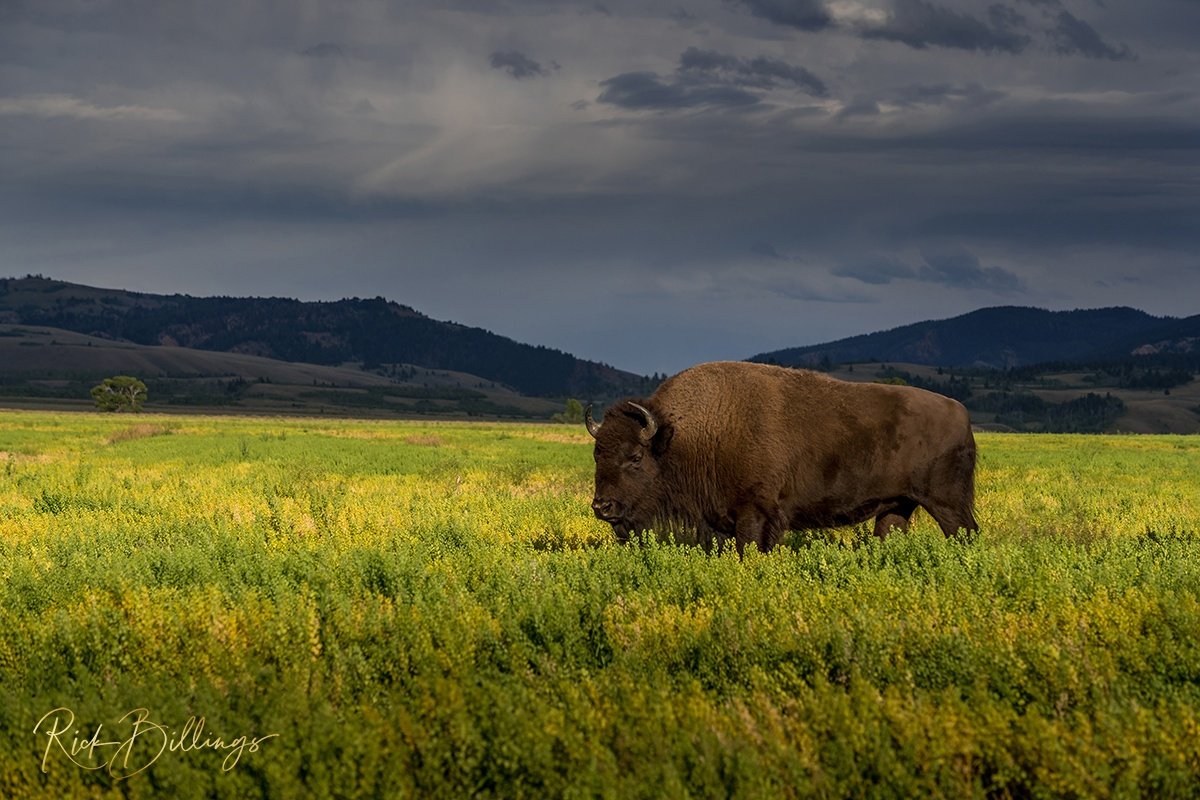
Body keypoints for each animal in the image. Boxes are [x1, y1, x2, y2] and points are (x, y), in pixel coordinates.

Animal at [586, 361, 977, 553]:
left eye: (635, 457)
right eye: (596, 454)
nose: (602, 507)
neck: (681, 435)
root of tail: (962, 412)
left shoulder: (755, 514)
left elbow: (750, 548)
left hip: (946, 502)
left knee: (966, 532)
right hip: (898, 505)